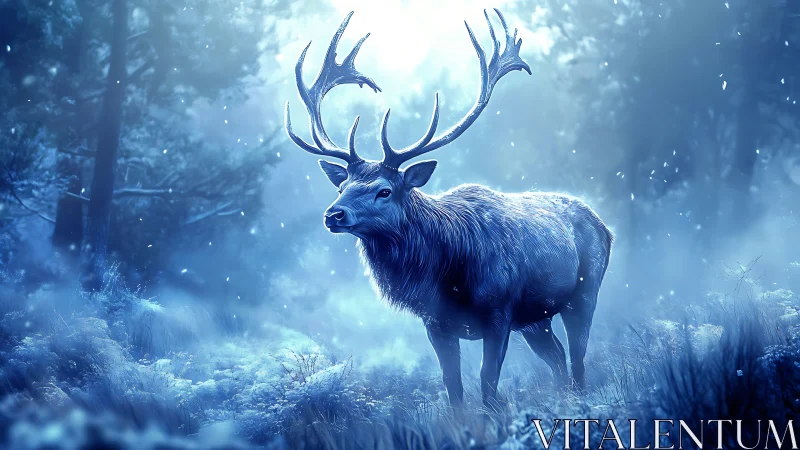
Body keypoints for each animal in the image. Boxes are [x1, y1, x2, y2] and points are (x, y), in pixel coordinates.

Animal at [284, 9, 613, 410]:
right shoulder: (435, 322)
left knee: (578, 354)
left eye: (384, 191)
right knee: (557, 355)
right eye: (342, 187)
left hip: (584, 291)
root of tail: (605, 226)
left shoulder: (499, 311)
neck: (447, 271)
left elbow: (488, 381)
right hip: (535, 318)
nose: (333, 215)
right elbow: (452, 385)